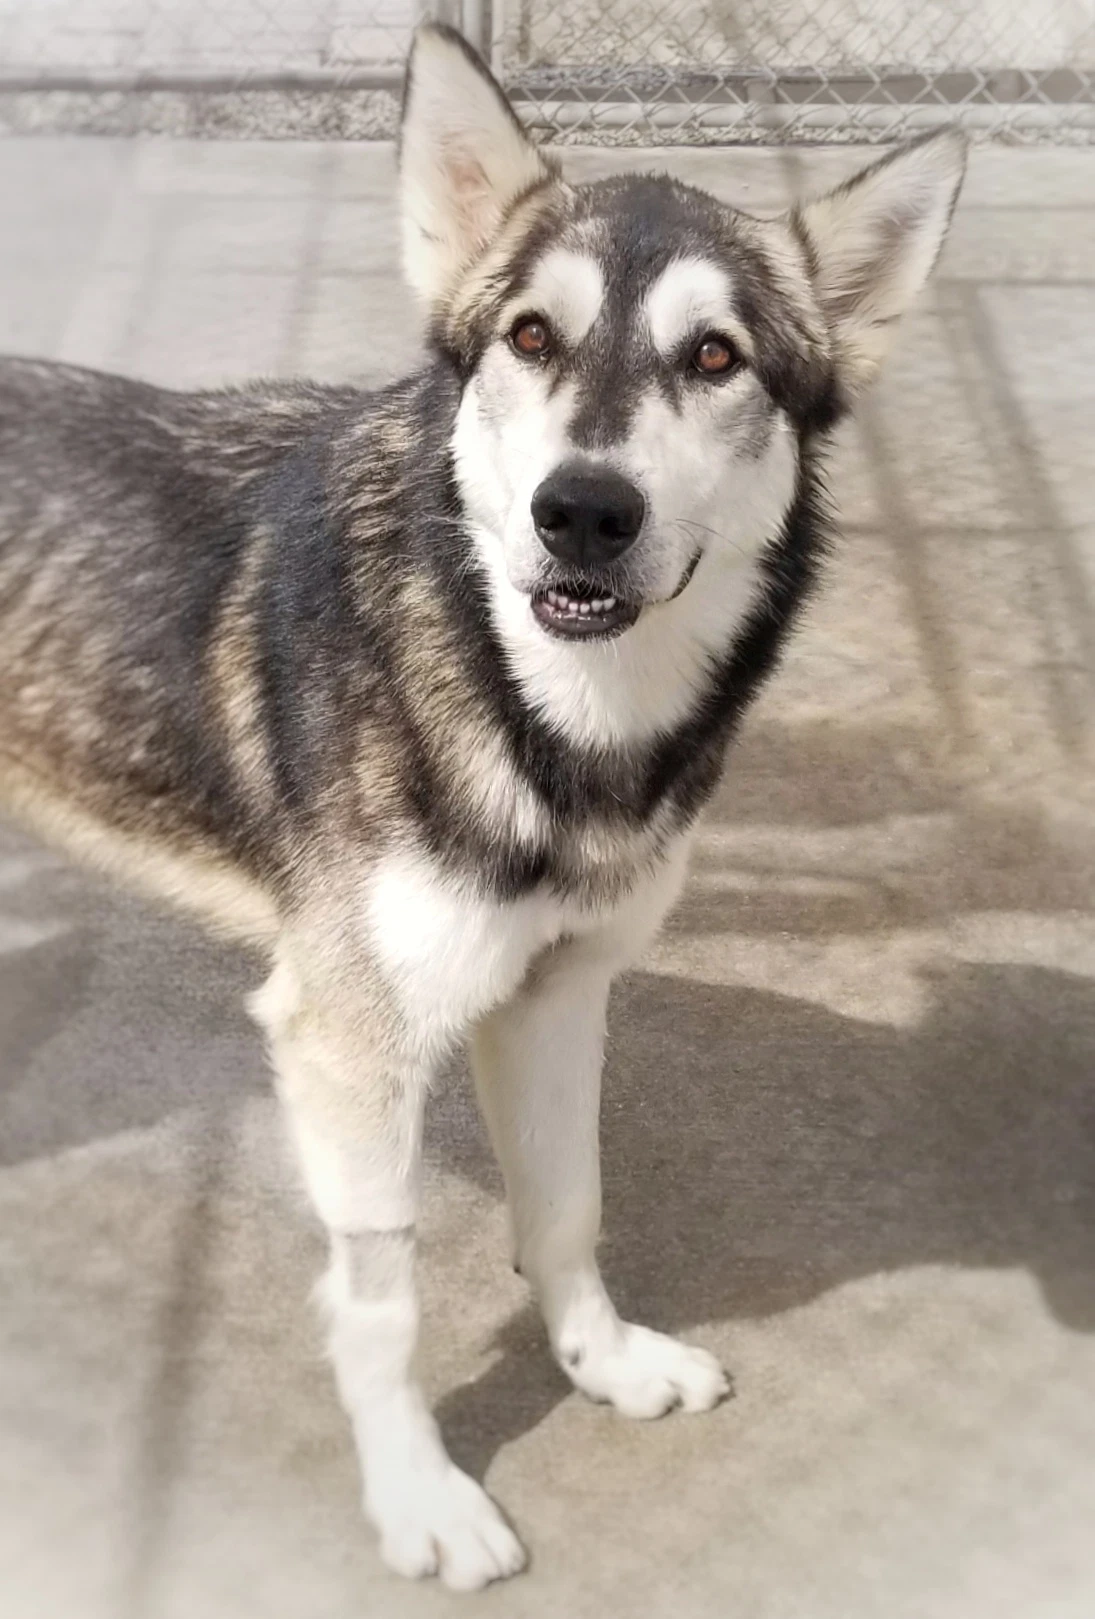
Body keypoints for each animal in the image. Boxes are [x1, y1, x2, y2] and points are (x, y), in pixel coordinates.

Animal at [0, 22, 965, 1591]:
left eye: (715, 356)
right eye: (528, 337)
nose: (583, 510)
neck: (537, 706)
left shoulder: (558, 993)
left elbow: (568, 1202)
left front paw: (602, 1362)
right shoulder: (349, 1044)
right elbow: (381, 1300)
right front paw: (418, 1496)